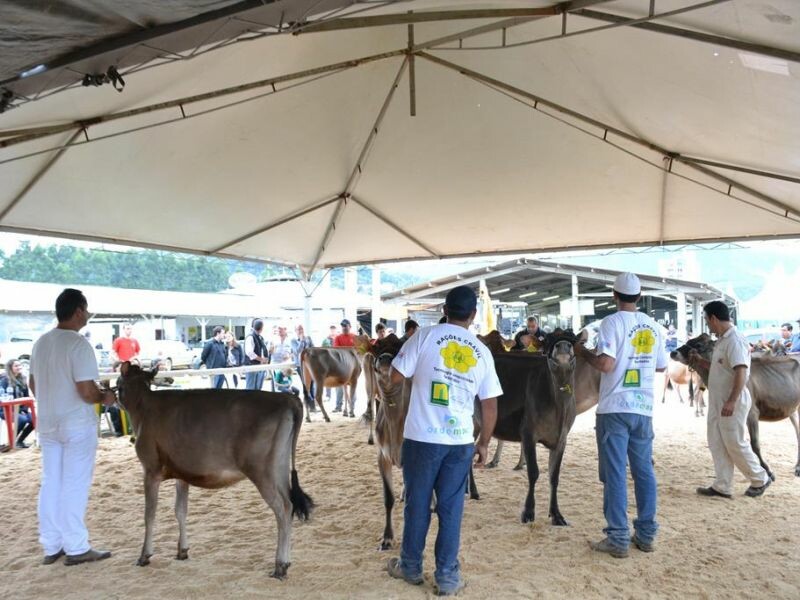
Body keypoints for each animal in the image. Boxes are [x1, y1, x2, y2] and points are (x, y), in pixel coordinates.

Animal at [116, 360, 316, 576]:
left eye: (118, 383)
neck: (143, 406)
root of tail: (288, 399)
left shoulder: (150, 470)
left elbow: (149, 515)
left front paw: (144, 555)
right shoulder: (182, 474)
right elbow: (180, 510)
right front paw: (182, 551)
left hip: (262, 471)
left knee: (283, 508)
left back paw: (279, 566)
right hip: (279, 468)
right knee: (290, 503)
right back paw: (286, 562)